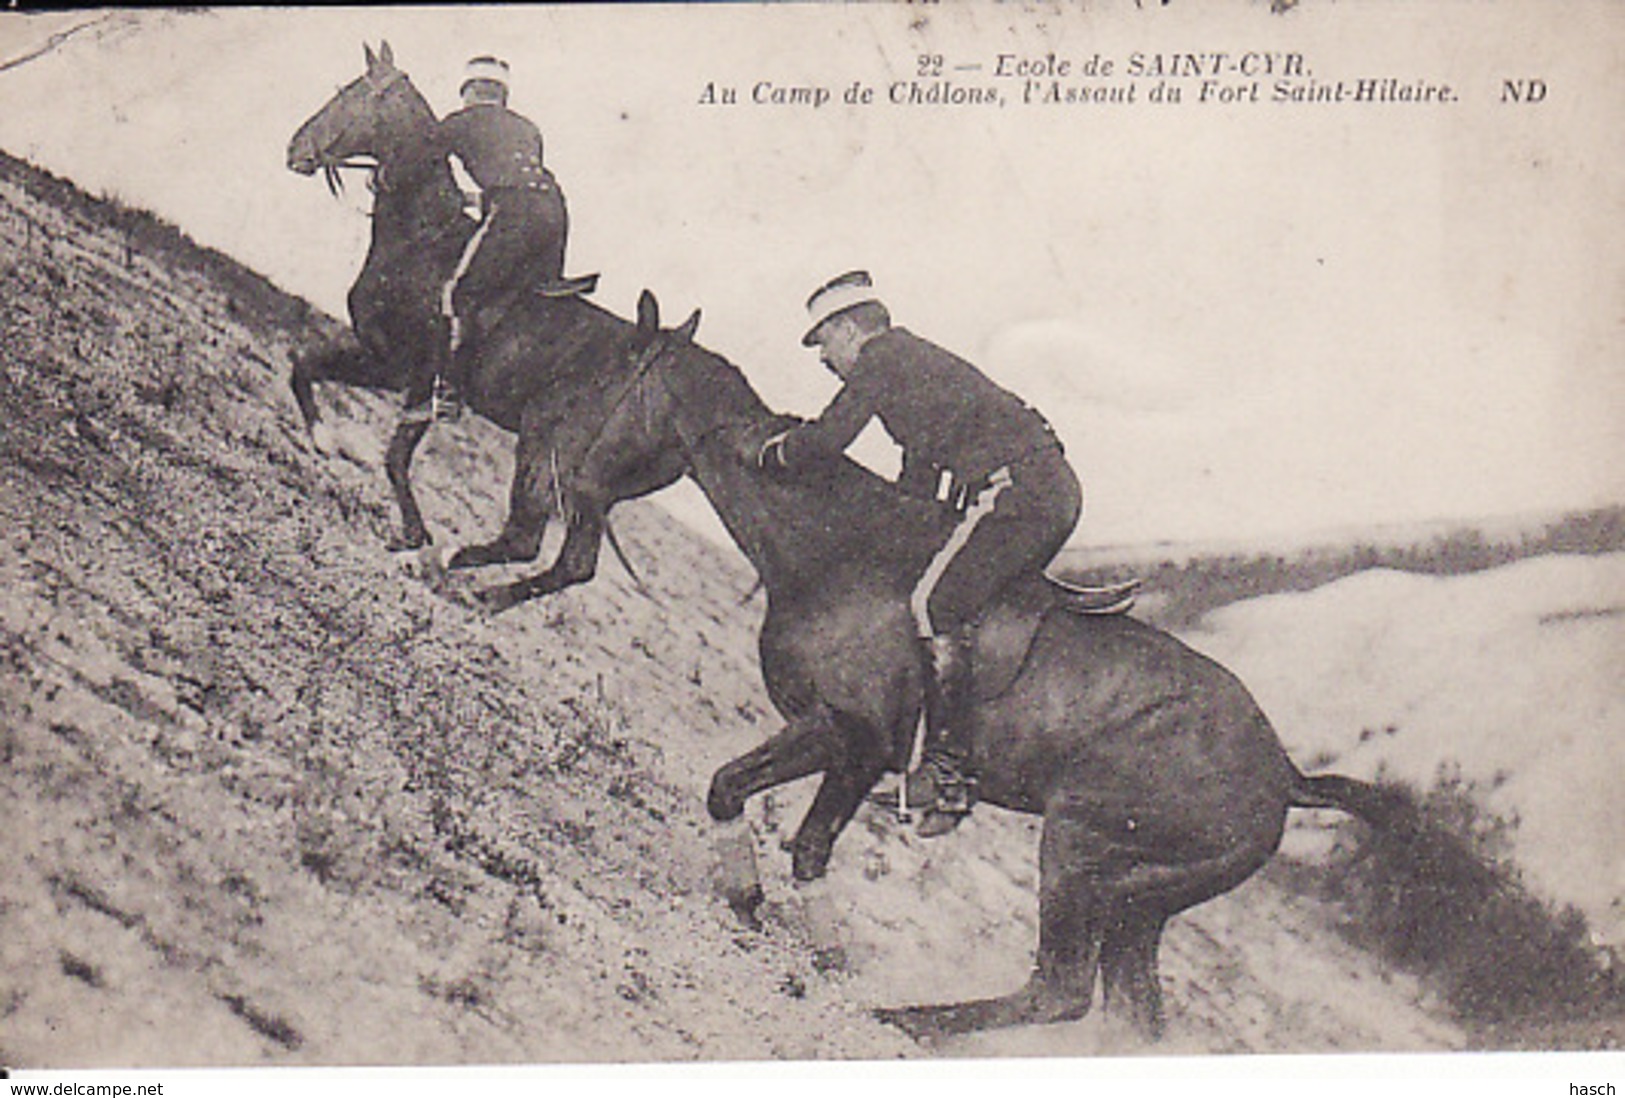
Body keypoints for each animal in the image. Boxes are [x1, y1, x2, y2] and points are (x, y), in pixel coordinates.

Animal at [286, 42, 679, 600]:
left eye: (351, 93)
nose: (295, 148)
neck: (425, 237)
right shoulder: (393, 367)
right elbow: (310, 370)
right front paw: (329, 442)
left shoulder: (408, 370)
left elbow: (388, 449)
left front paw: (412, 533)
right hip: (594, 489)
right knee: (573, 564)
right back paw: (484, 596)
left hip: (547, 453)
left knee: (527, 539)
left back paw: (450, 568)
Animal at [578, 295, 1404, 1039]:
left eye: (616, 374)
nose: (576, 476)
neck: (839, 551)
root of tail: (1284, 775)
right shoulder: (830, 739)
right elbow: (741, 800)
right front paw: (753, 905)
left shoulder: (854, 739)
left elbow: (794, 837)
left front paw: (814, 947)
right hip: (1140, 904)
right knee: (1133, 1017)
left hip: (1080, 851)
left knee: (1058, 989)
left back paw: (913, 1021)